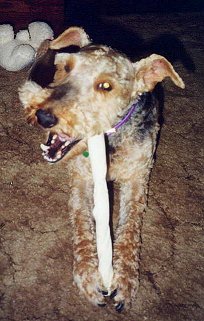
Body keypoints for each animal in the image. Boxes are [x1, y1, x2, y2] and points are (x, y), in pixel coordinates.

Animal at [19, 26, 185, 312]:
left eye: (106, 86)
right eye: (67, 67)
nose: (44, 117)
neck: (111, 140)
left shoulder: (137, 180)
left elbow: (129, 229)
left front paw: (124, 283)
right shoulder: (81, 179)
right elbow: (83, 226)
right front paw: (89, 277)